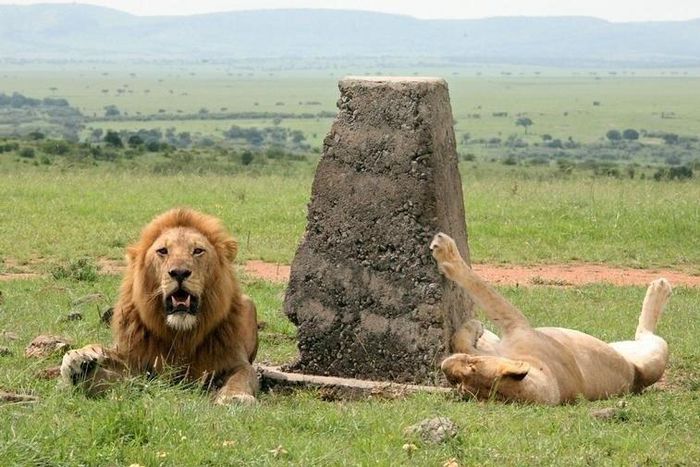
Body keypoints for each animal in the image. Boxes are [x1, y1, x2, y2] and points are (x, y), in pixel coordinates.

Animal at [60, 208, 258, 404]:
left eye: (198, 251)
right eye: (163, 251)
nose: (179, 272)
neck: (182, 334)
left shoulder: (235, 360)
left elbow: (242, 376)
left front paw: (235, 397)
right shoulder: (137, 361)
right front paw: (79, 359)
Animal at [430, 232, 672, 405]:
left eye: (473, 367)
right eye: (460, 385)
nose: (444, 367)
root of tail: (637, 378)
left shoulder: (519, 324)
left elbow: (484, 291)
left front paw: (444, 251)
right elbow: (462, 341)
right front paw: (477, 330)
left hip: (656, 351)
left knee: (646, 332)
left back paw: (660, 287)